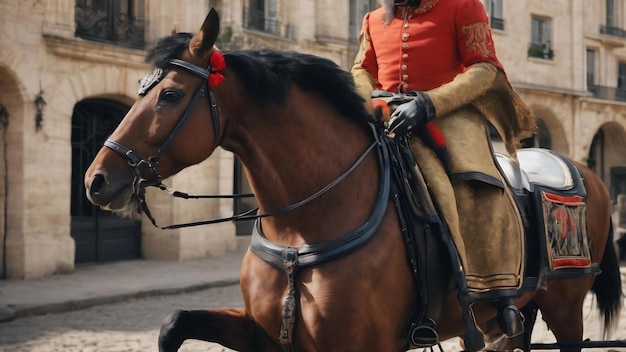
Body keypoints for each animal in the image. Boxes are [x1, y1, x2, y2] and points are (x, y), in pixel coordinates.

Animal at [83, 8, 620, 352]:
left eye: (170, 95)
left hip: (565, 305)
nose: (97, 179)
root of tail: (584, 171)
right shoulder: (266, 334)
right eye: (139, 90)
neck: (303, 229)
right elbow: (173, 322)